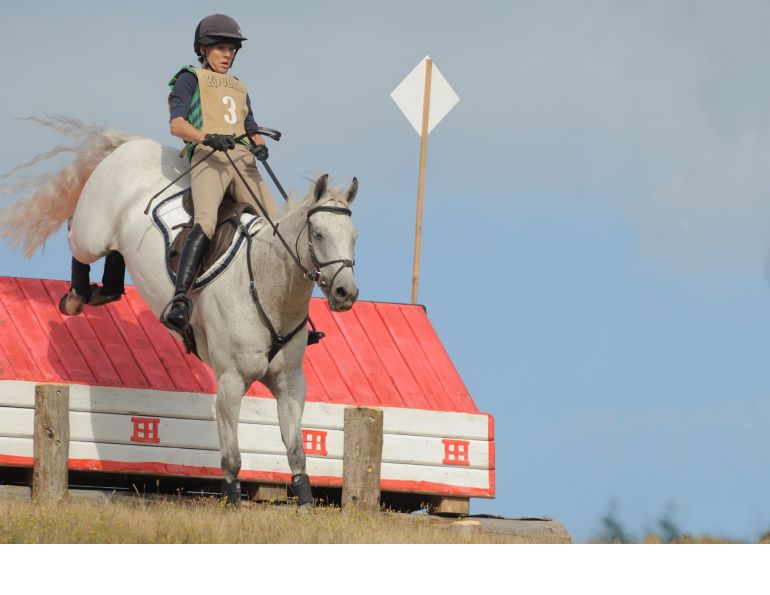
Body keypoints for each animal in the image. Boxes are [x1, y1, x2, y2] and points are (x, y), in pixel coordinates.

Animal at [0, 117, 359, 506]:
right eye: (319, 234)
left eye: (354, 236)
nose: (346, 293)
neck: (267, 286)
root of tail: (130, 145)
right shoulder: (230, 380)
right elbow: (232, 455)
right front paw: (232, 502)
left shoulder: (290, 383)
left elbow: (296, 449)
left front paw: (305, 501)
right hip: (91, 233)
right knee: (74, 235)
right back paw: (77, 296)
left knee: (116, 256)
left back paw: (102, 291)